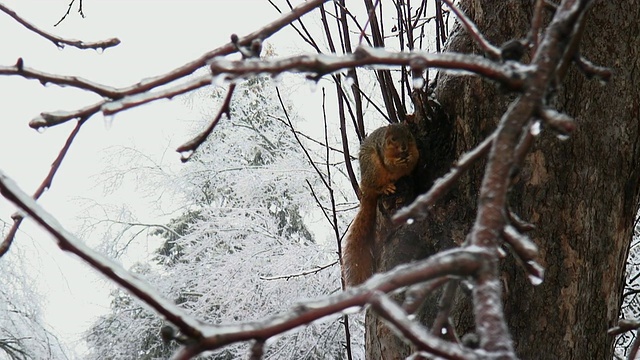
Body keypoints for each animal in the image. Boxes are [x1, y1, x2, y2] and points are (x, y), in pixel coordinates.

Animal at [340, 124, 420, 286]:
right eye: (393, 139)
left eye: (409, 136)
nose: (404, 147)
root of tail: (365, 189)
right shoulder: (383, 154)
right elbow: (389, 163)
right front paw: (396, 162)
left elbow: (416, 157)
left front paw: (410, 157)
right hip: (374, 167)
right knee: (376, 186)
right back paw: (385, 188)